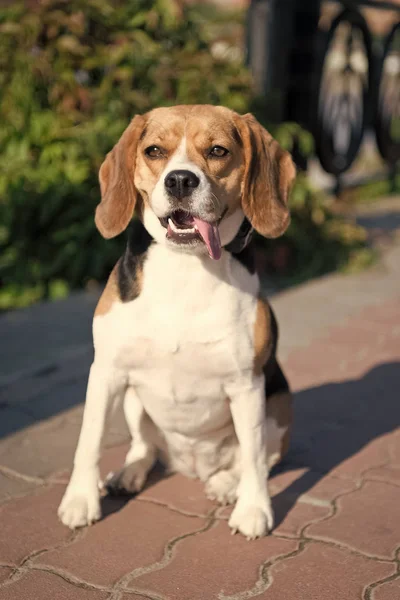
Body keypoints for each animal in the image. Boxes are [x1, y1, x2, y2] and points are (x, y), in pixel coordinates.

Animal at [59, 105, 296, 540]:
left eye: (218, 150)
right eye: (154, 150)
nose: (181, 179)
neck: (186, 263)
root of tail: (190, 466)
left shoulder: (246, 384)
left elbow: (254, 457)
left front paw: (254, 509)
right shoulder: (106, 373)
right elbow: (89, 440)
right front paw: (80, 500)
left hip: (277, 406)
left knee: (255, 458)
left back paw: (227, 485)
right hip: (134, 400)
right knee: (146, 447)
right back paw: (130, 472)